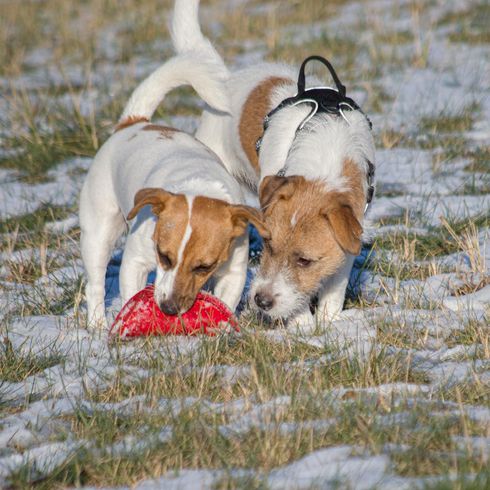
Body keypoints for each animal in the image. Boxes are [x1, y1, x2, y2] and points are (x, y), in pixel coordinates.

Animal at [81, 1, 272, 330]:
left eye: (203, 266)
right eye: (164, 256)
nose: (169, 308)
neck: (198, 182)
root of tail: (135, 122)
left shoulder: (233, 269)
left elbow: (226, 299)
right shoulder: (135, 261)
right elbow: (130, 288)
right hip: (98, 228)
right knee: (95, 283)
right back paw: (96, 326)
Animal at [172, 1, 376, 330]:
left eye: (304, 260)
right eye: (267, 245)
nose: (261, 301)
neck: (324, 154)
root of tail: (226, 81)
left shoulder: (350, 235)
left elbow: (334, 288)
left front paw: (329, 323)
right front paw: (302, 324)